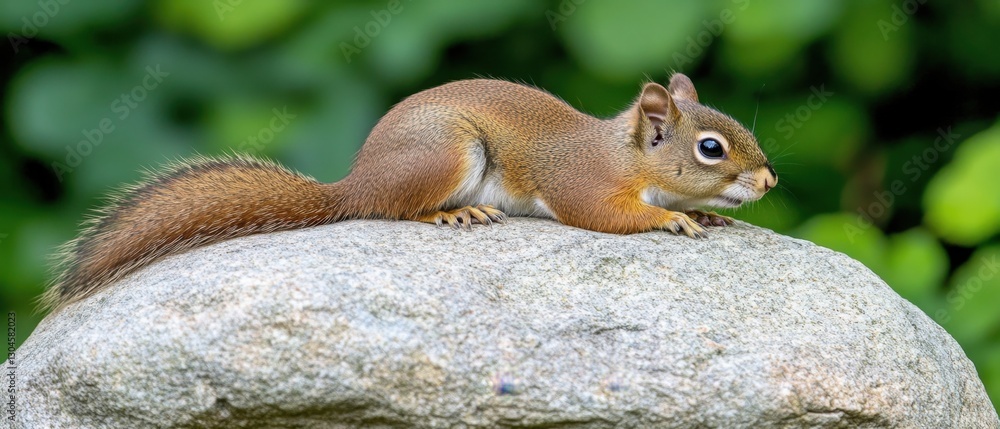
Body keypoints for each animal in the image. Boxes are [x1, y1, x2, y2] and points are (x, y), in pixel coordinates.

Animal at [42, 73, 776, 312]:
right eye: (711, 148)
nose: (769, 178)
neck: (620, 151)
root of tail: (354, 182)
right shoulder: (582, 182)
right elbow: (603, 214)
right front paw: (668, 222)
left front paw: (706, 215)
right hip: (447, 155)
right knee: (399, 209)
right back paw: (454, 213)